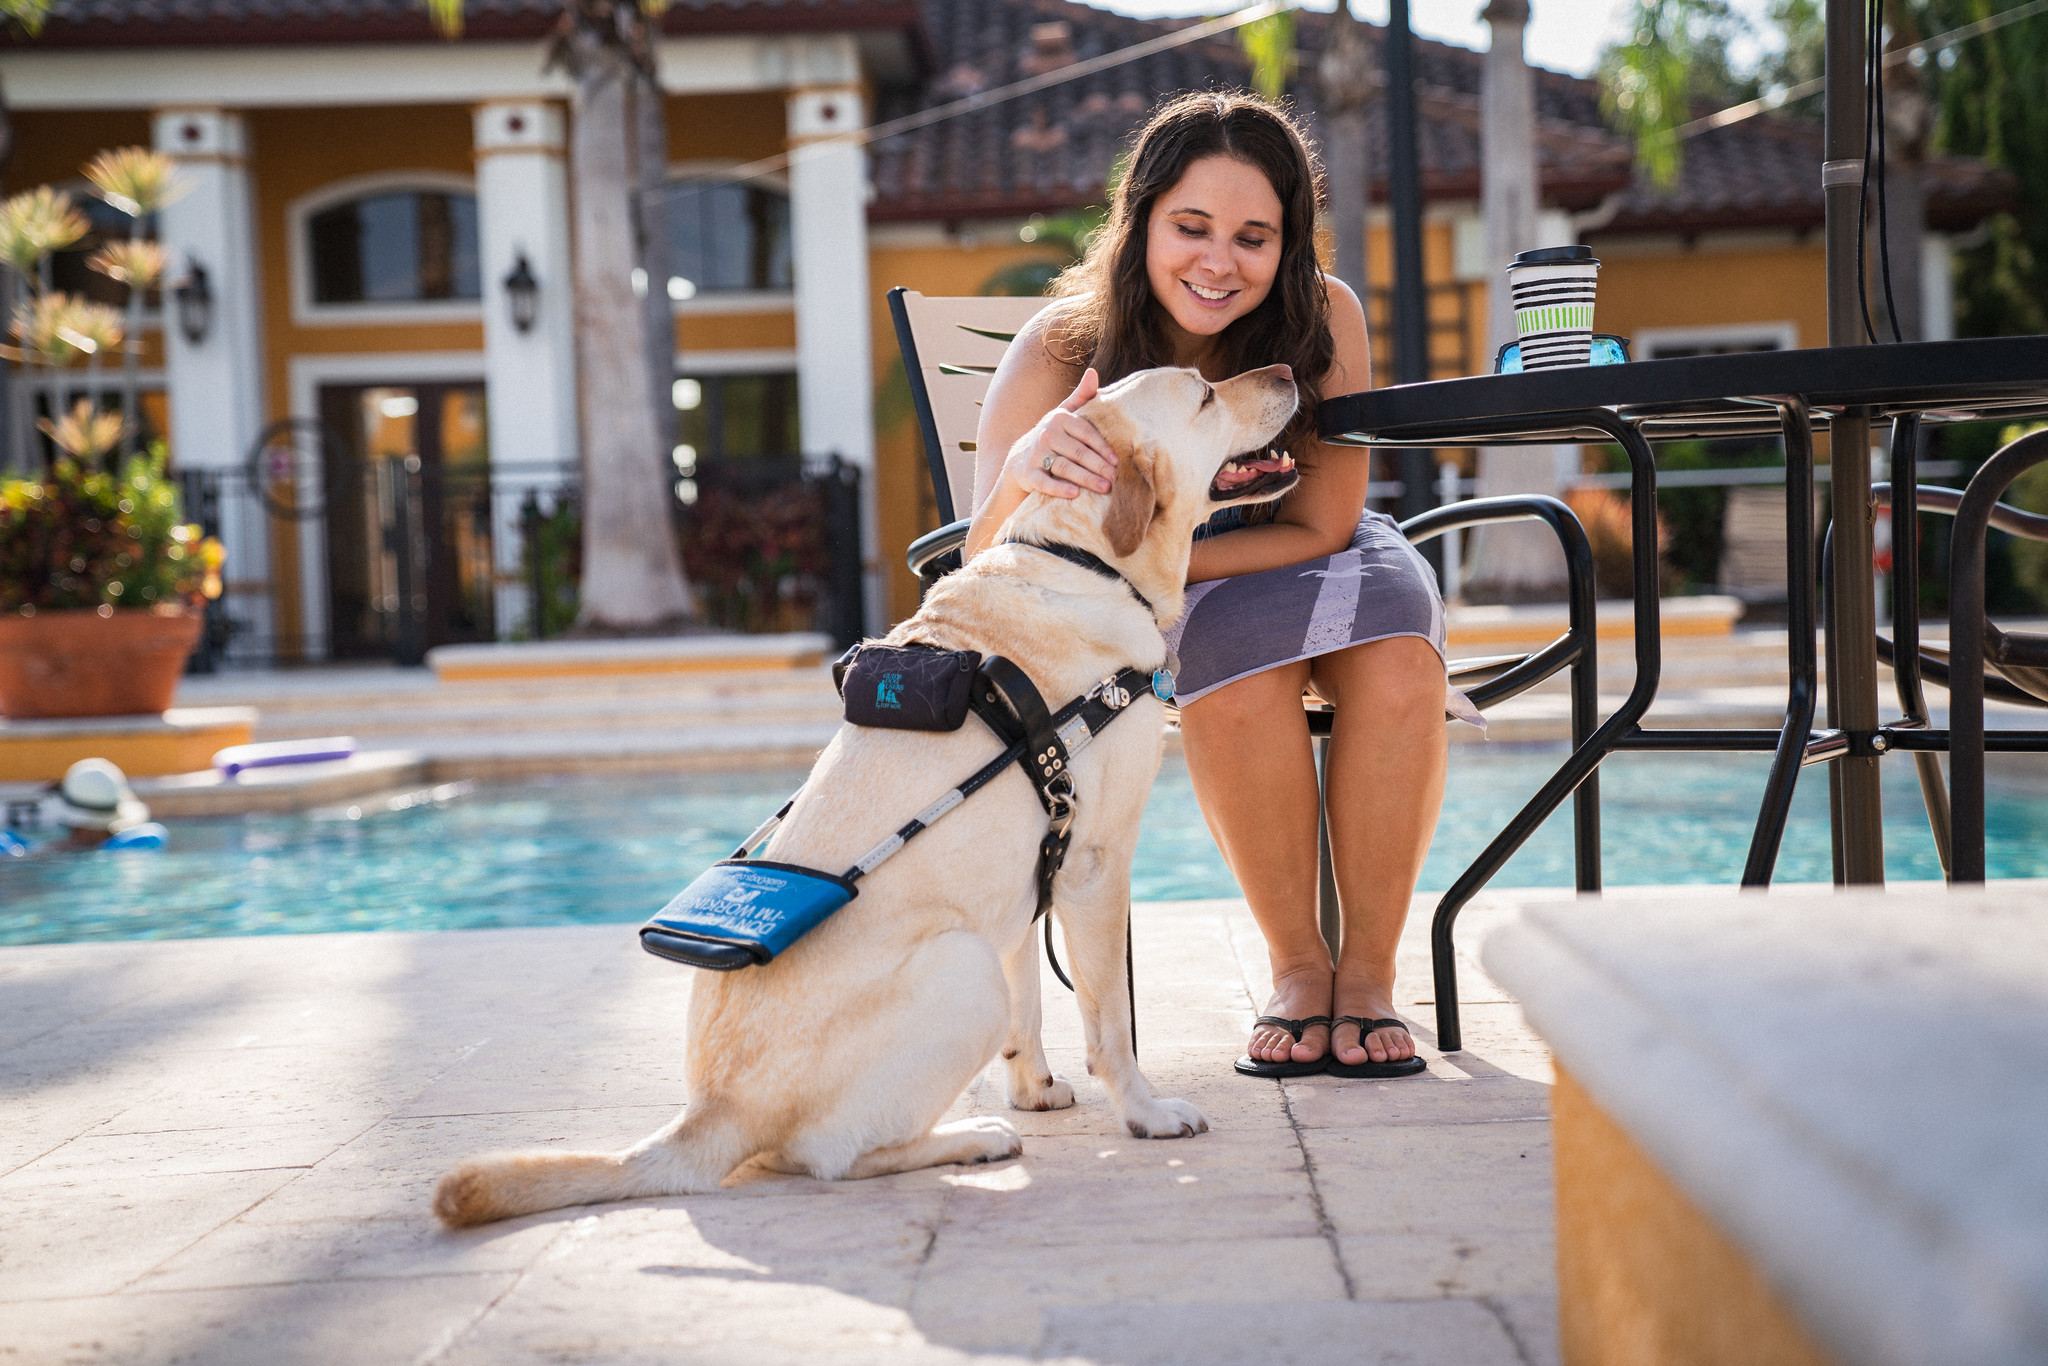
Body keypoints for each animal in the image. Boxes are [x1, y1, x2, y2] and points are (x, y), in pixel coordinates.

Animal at [432, 362, 1294, 1228]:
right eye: (1204, 393)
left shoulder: (1031, 871)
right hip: (962, 966)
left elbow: (1031, 1002)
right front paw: (1146, 1113)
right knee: (829, 1158)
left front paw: (1034, 1088)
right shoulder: (1094, 864)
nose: (1289, 369)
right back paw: (968, 1138)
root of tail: (709, 1113)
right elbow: (1110, 1020)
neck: (1084, 559)